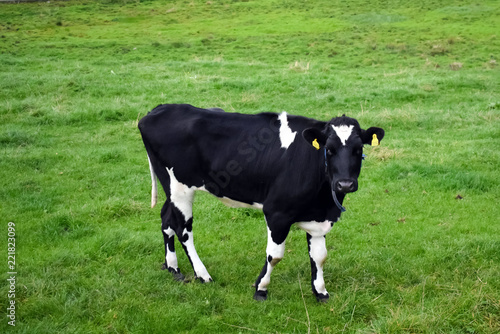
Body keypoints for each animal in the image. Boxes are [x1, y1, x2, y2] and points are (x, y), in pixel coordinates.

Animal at [139, 103, 384, 302]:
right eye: (329, 149)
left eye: (358, 150)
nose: (345, 184)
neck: (324, 201)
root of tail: (158, 109)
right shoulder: (276, 212)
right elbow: (275, 255)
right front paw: (261, 289)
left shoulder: (319, 218)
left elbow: (320, 256)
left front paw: (321, 292)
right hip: (179, 187)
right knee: (183, 229)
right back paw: (202, 274)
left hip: (170, 188)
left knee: (166, 219)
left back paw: (173, 268)